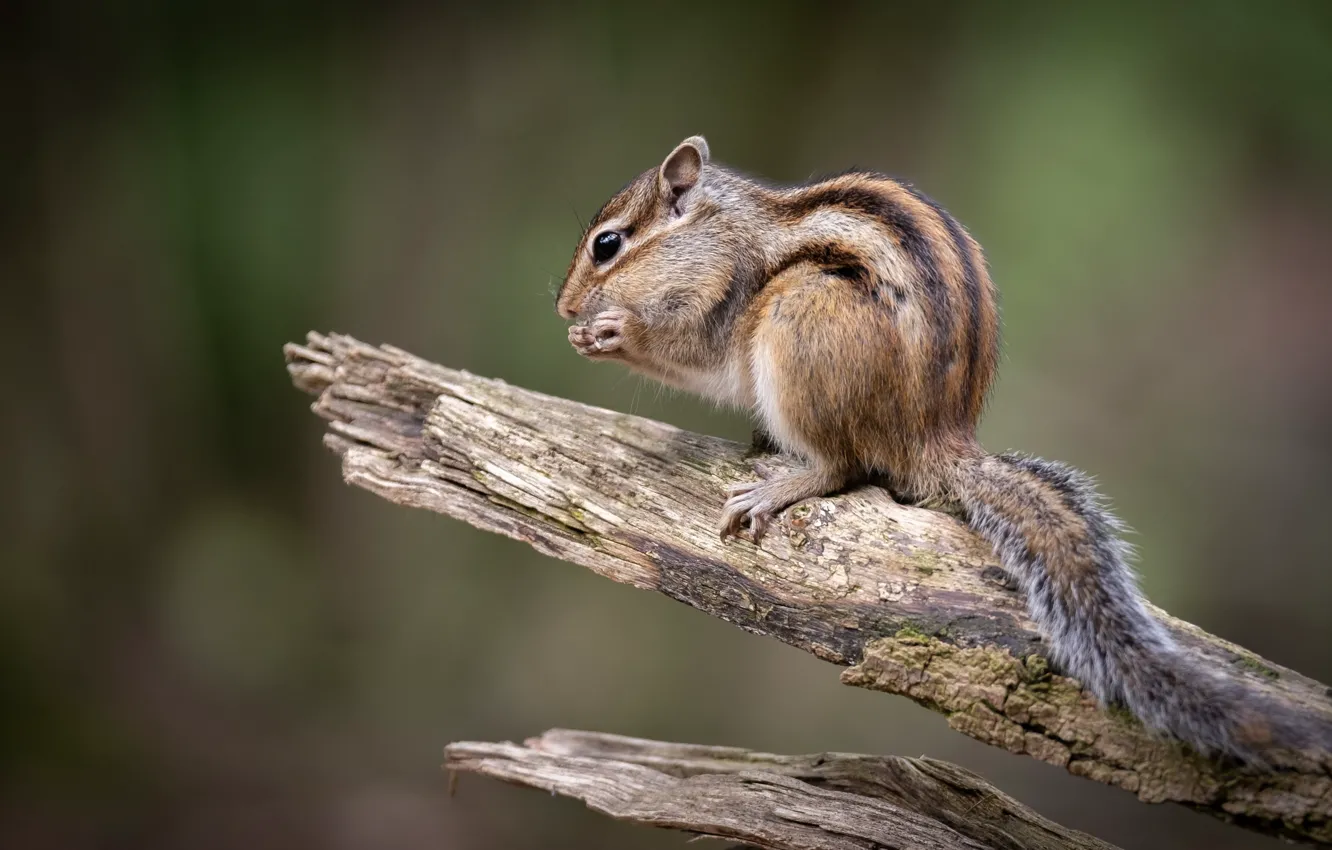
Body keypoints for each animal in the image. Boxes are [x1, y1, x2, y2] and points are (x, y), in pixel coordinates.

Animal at [556, 135, 1321, 764]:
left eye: (607, 245)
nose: (563, 307)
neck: (718, 231)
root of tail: (934, 441)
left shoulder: (721, 294)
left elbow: (692, 351)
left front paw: (614, 332)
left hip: (800, 320)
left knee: (841, 466)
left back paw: (782, 482)